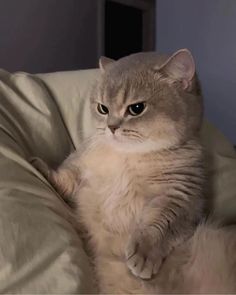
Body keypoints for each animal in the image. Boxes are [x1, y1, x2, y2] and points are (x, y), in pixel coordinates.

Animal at [32, 49, 236, 294]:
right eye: (103, 108)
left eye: (136, 108)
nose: (111, 127)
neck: (127, 157)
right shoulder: (81, 168)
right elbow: (64, 178)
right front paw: (40, 168)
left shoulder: (180, 197)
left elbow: (160, 225)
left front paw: (144, 254)